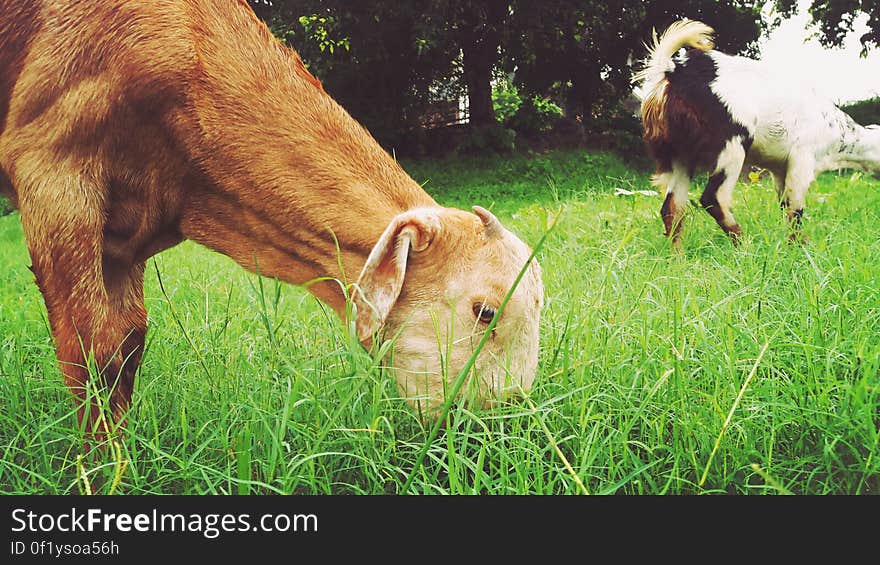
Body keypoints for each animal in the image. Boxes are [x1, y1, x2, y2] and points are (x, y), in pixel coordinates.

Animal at [0, 0, 548, 440]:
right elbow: (94, 352)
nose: (501, 425)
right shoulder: (52, 170)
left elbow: (129, 345)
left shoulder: (128, 235)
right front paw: (106, 472)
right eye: (485, 312)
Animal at [632, 20, 880, 247]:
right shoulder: (802, 161)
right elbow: (796, 209)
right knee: (714, 198)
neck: (840, 134)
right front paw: (800, 247)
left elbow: (785, 206)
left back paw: (678, 256)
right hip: (731, 145)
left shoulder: (780, 170)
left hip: (680, 155)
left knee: (672, 207)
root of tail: (672, 71)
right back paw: (744, 245)